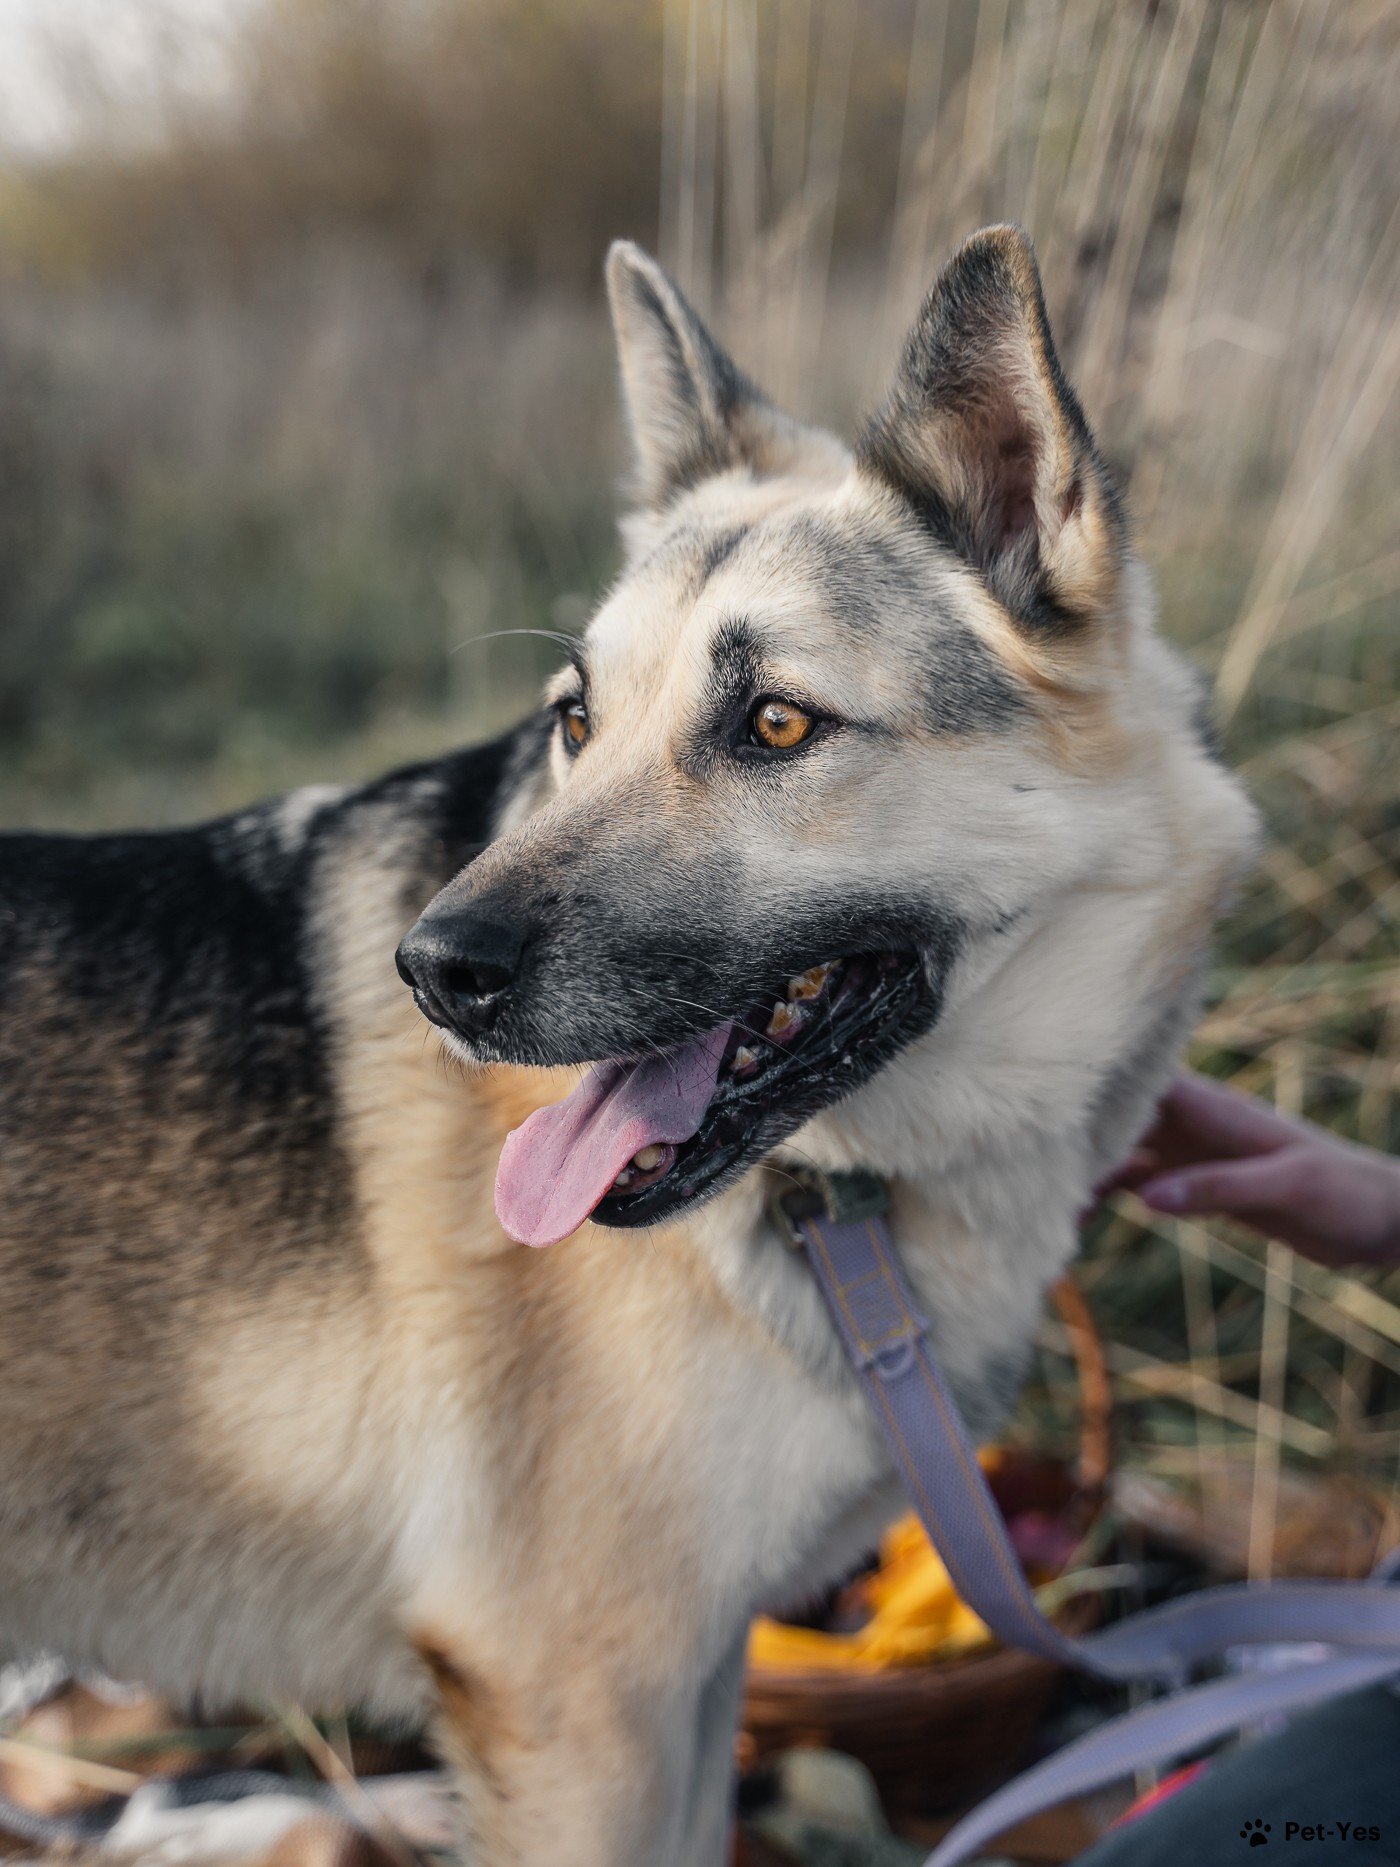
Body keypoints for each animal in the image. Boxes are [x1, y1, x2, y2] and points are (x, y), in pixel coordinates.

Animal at [0, 233, 1261, 1867]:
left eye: (777, 723)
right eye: (575, 721)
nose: (428, 972)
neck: (831, 1200)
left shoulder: (690, 1685)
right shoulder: (577, 1704)